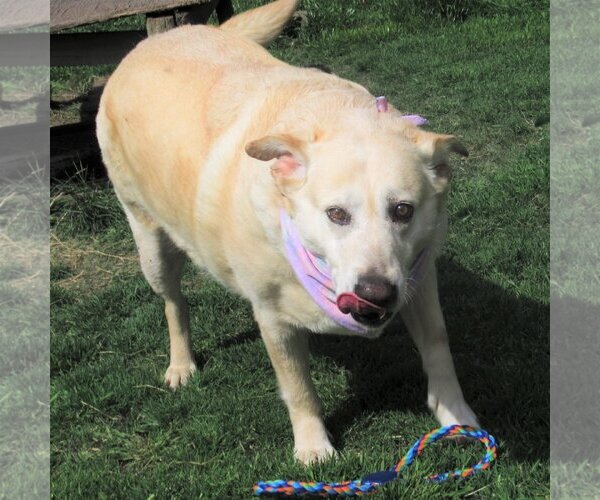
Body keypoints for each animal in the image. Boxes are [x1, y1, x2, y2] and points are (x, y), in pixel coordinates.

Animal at [96, 0, 478, 464]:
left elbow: (440, 348)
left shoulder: (417, 281)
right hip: (152, 248)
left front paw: (458, 417)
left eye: (403, 210)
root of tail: (154, 42)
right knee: (174, 303)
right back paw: (181, 363)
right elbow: (298, 388)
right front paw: (313, 446)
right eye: (337, 214)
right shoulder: (275, 320)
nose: (374, 293)